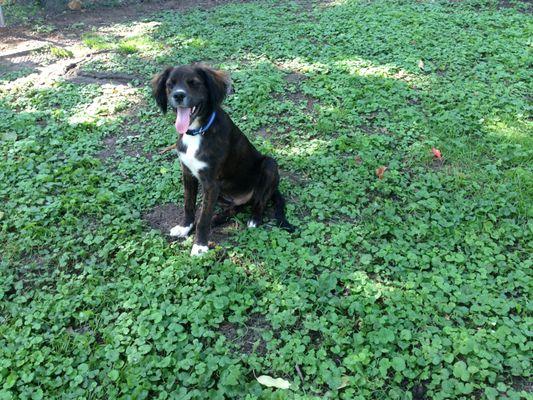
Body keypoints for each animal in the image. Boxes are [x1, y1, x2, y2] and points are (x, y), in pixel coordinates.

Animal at [151, 63, 296, 255]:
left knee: (260, 201)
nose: (178, 95)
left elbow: (203, 217)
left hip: (269, 166)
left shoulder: (211, 183)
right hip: (222, 194)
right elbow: (188, 204)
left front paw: (200, 245)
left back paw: (254, 219)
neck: (197, 131)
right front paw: (185, 227)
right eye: (170, 85)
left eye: (194, 83)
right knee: (235, 208)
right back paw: (217, 219)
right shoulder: (188, 174)